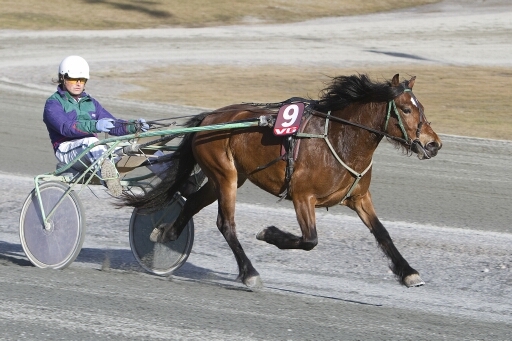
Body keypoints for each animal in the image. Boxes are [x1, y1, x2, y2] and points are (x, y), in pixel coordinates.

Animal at [122, 73, 442, 288]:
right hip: (225, 176)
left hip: (226, 178)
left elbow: (383, 233)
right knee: (226, 224)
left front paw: (408, 272)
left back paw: (165, 233)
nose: (433, 144)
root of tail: (208, 118)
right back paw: (249, 273)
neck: (340, 138)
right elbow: (310, 240)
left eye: (422, 107)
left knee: (191, 203)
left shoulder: (360, 197)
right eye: (406, 109)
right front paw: (269, 233)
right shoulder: (303, 197)